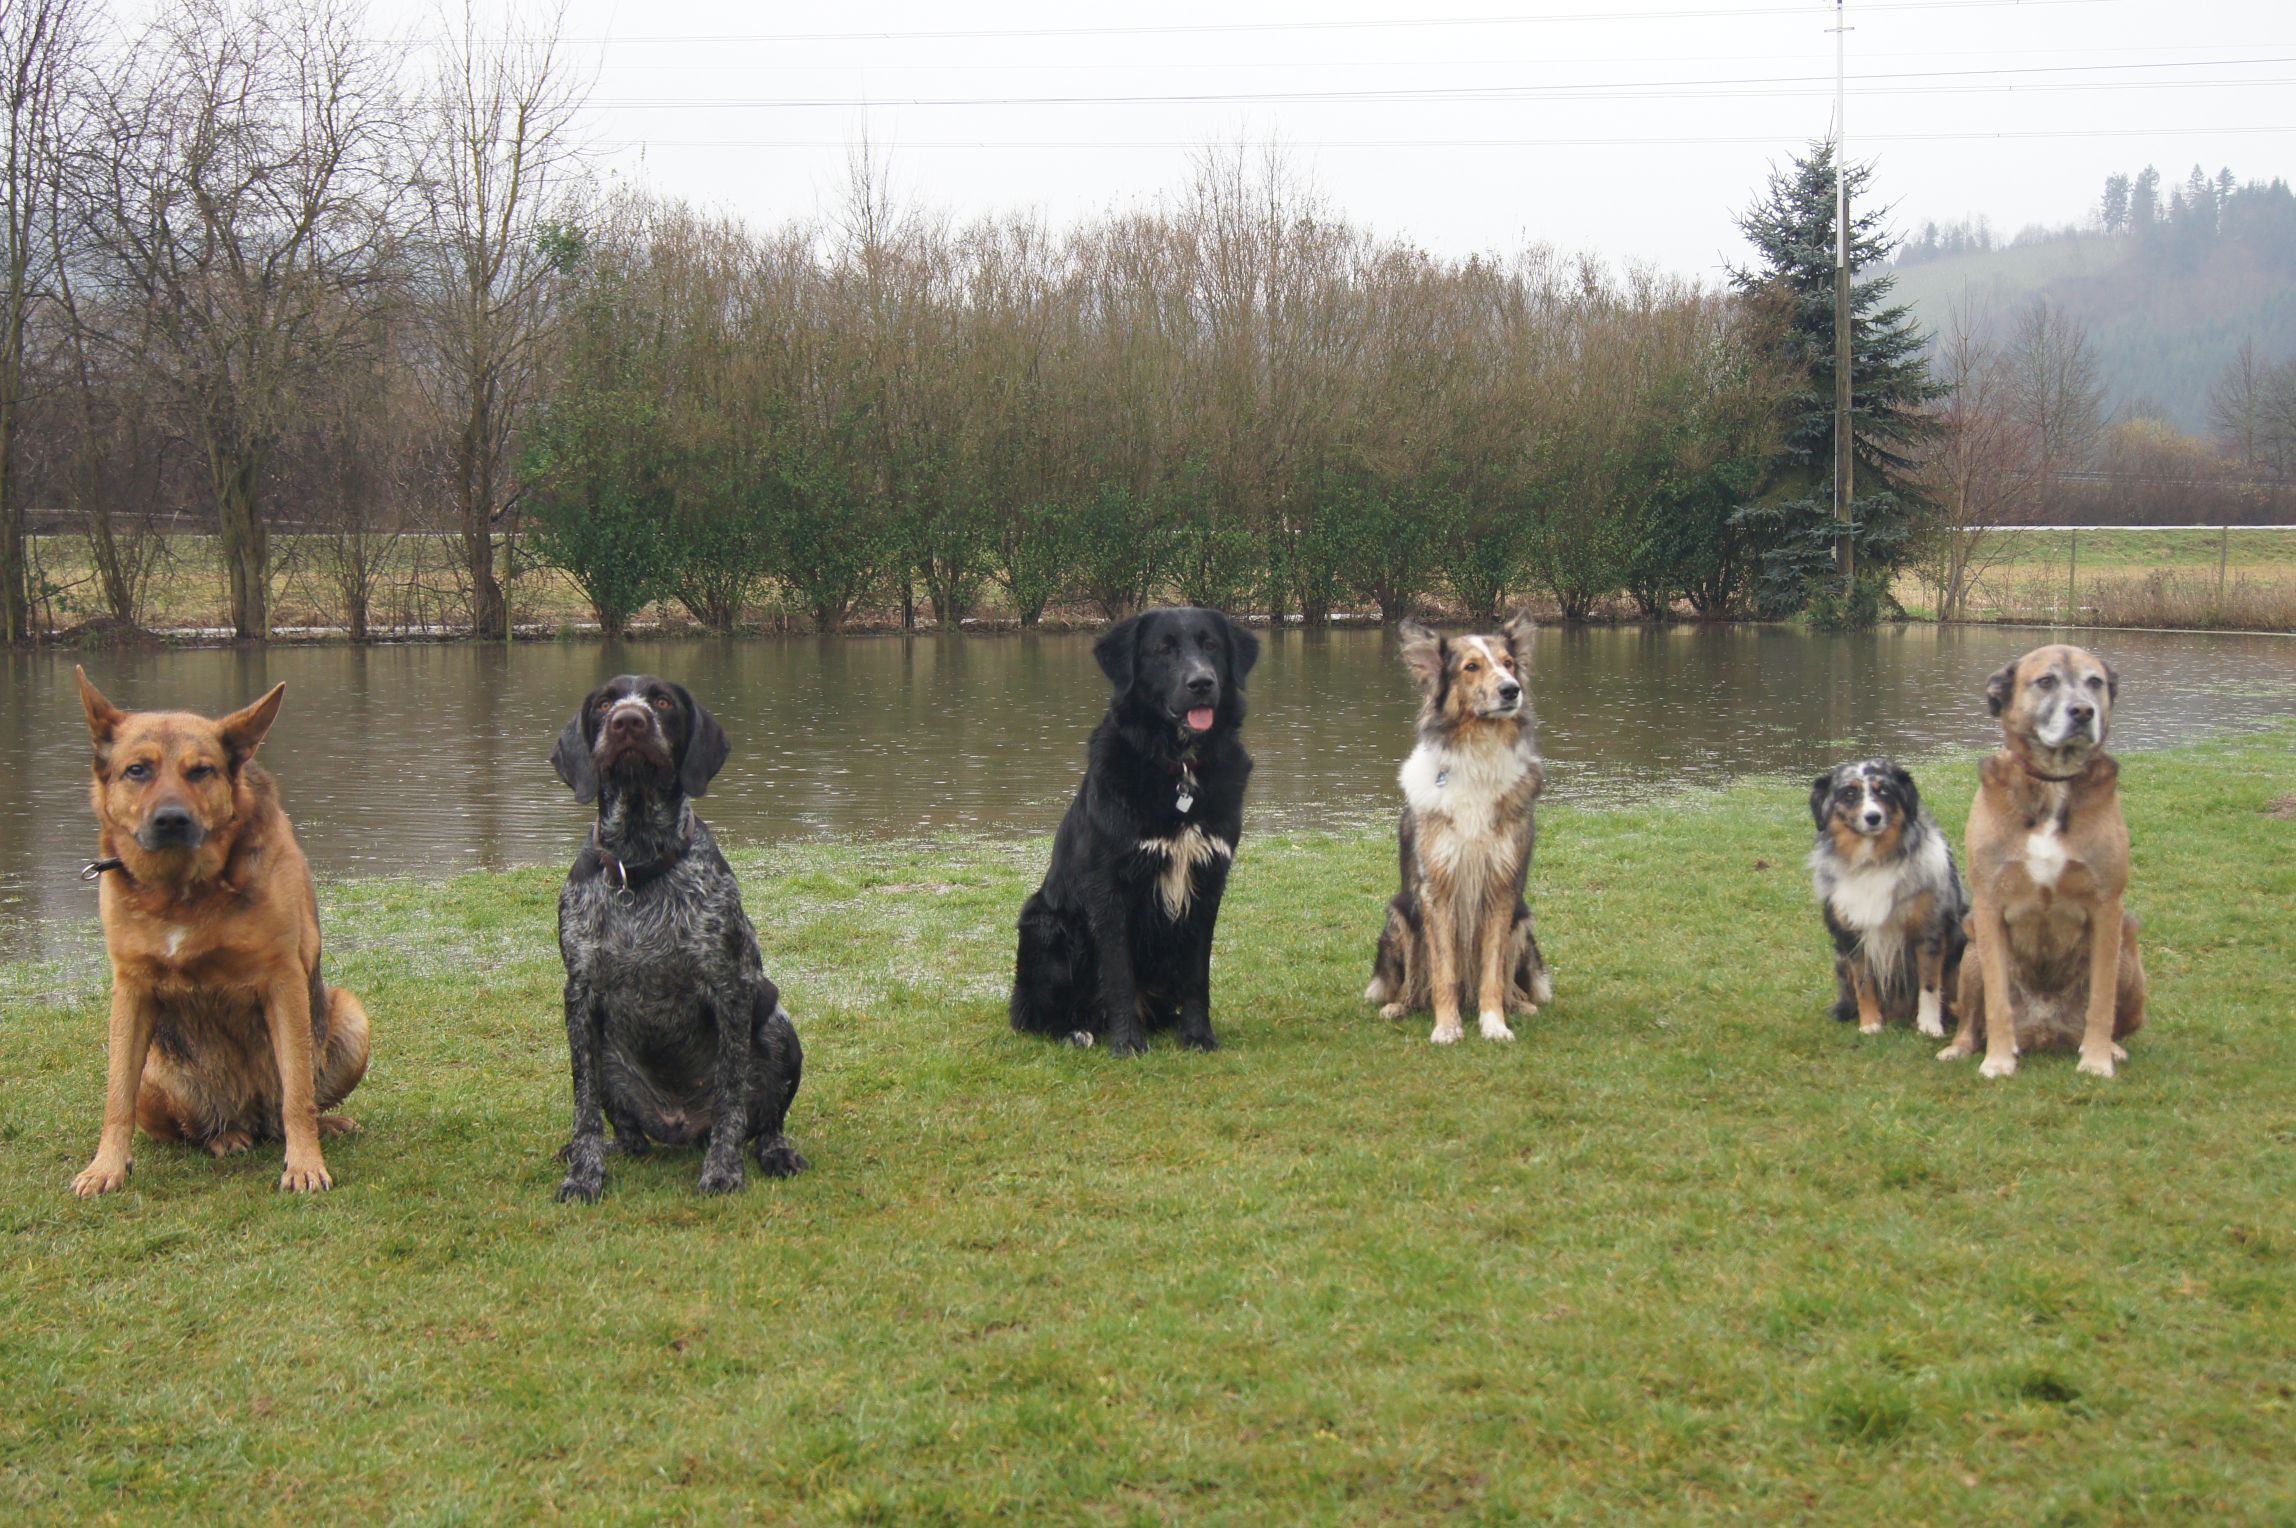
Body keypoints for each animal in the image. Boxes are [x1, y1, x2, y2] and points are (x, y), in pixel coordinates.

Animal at [72, 665, 371, 1193]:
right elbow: (115, 1097)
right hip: (157, 1071)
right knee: (193, 1127)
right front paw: (106, 1167)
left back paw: (324, 1126)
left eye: (201, 770)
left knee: (293, 1104)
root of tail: (251, 1116)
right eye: (137, 770)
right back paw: (222, 1137)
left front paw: (305, 1164)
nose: (171, 819)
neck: (182, 892)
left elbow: (298, 1092)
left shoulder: (283, 980)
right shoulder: (130, 989)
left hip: (352, 1017)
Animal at [548, 674, 808, 1193]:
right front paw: (584, 1174)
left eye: (663, 702)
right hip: (610, 1062)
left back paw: (775, 1152)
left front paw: (724, 1170)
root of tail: (681, 1125)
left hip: (778, 1026)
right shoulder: (579, 995)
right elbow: (583, 1107)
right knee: (629, 1136)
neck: (639, 864)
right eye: (604, 704)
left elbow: (731, 1096)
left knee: (766, 1123)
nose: (628, 721)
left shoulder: (731, 988)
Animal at [1014, 601, 1267, 1055]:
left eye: (1212, 646)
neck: (1179, 768)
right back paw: (1075, 1031)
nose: (1202, 683)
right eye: (1163, 649)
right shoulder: (1110, 887)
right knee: (1031, 1017)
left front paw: (1198, 1036)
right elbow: (1118, 974)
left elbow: (1198, 977)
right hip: (1046, 927)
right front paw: (1128, 1043)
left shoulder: (1207, 882)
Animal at [1800, 761, 1965, 1037]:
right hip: (1840, 958)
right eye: (1849, 793)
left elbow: (1930, 984)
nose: (1873, 817)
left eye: (1884, 791)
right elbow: (1864, 983)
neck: (1874, 861)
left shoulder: (1929, 930)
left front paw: (1929, 1026)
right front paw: (1870, 1024)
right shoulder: (1852, 935)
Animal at [1947, 642, 2139, 1082]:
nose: (2083, 711)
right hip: (1970, 949)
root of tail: (2045, 1031)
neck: (2053, 783)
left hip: (2129, 945)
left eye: (2094, 682)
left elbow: (2101, 999)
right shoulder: (1988, 906)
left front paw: (2097, 1059)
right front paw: (1998, 1060)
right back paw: (1959, 1048)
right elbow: (1996, 1001)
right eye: (2046, 681)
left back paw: (2111, 1048)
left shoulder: (2108, 907)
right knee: (1969, 1019)